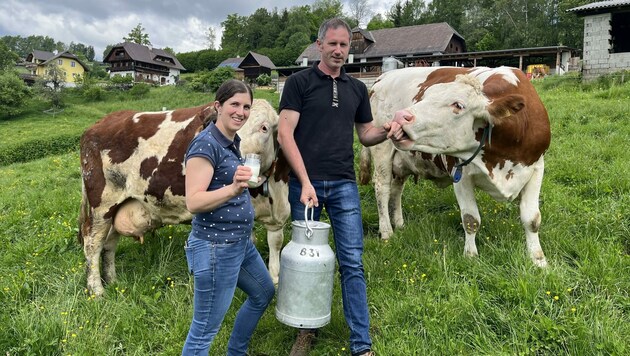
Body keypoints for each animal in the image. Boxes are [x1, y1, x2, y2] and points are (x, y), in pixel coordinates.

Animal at [78, 98, 292, 296]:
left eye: (264, 128)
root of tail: (99, 124)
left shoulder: (277, 213)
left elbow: (275, 243)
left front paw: (275, 280)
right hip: (102, 203)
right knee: (93, 242)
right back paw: (97, 291)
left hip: (118, 205)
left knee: (109, 243)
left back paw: (113, 281)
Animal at [362, 67, 552, 268]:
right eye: (426, 96)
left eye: (458, 105)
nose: (399, 117)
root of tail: (385, 75)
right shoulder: (461, 174)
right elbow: (470, 219)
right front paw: (470, 256)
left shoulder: (536, 168)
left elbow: (532, 219)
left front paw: (538, 260)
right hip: (382, 150)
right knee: (382, 188)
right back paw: (386, 231)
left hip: (402, 160)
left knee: (397, 190)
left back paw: (399, 223)